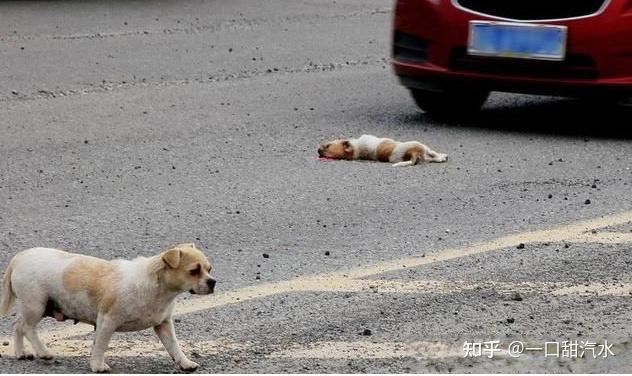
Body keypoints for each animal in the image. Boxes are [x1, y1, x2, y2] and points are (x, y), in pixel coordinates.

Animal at [0, 242, 215, 372]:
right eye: (194, 271)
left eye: (209, 269)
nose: (213, 282)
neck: (158, 287)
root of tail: (20, 257)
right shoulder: (107, 321)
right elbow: (101, 345)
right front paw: (97, 366)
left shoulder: (163, 325)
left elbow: (174, 346)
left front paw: (185, 363)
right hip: (36, 306)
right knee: (28, 328)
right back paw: (43, 352)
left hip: (35, 308)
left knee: (17, 326)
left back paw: (21, 353)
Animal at [318, 134, 446, 166]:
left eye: (328, 145)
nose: (318, 150)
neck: (357, 148)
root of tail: (412, 153)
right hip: (420, 145)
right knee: (433, 154)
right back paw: (443, 156)